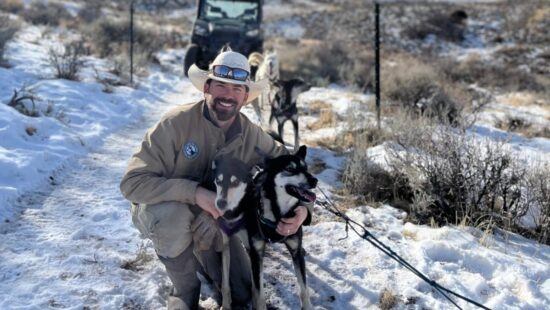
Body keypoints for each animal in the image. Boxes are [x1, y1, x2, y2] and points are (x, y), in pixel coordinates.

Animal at [215, 146, 320, 310]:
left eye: (306, 168)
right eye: (290, 168)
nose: (314, 180)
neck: (278, 213)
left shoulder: (295, 251)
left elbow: (304, 290)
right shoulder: (257, 253)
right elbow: (259, 295)